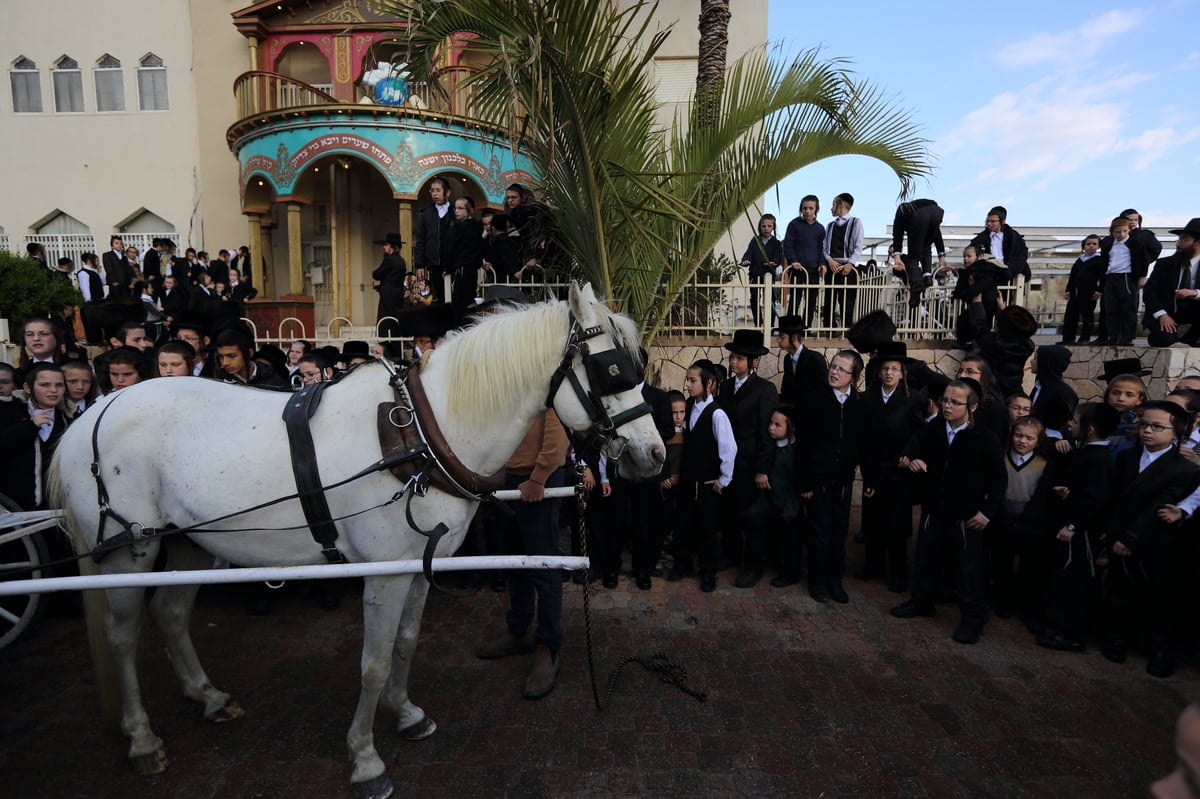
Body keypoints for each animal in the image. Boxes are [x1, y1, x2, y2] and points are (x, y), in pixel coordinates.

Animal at [46, 284, 667, 796]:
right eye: (612, 369)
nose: (654, 455)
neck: (422, 437)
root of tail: (93, 413)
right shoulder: (384, 572)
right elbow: (372, 661)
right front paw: (366, 759)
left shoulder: (420, 565)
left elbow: (406, 643)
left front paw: (406, 712)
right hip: (129, 552)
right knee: (123, 636)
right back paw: (142, 739)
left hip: (188, 542)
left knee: (172, 615)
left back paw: (209, 696)